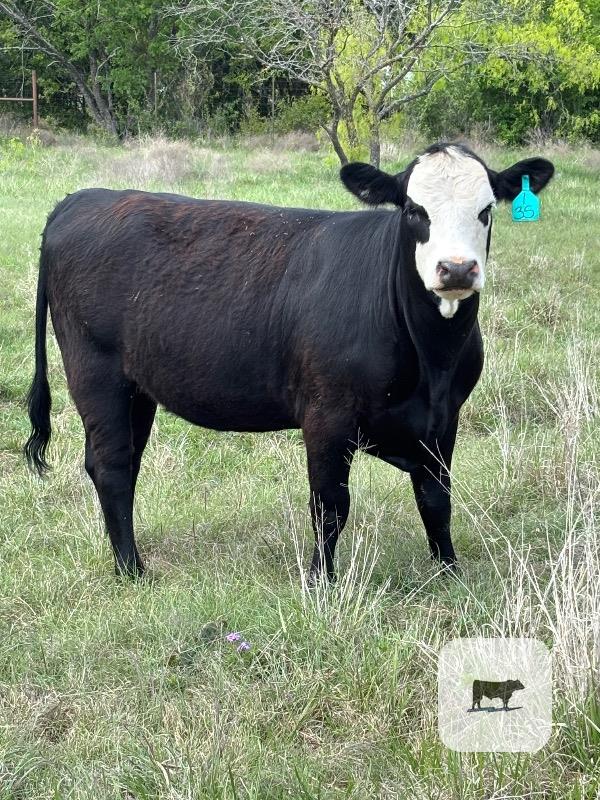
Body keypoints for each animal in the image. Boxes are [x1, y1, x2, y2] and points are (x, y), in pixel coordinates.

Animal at [24, 143, 554, 581]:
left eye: (486, 210)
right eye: (412, 210)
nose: (457, 269)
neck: (432, 361)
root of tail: (79, 199)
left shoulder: (444, 419)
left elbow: (436, 498)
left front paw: (448, 572)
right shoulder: (327, 414)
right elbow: (330, 505)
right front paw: (322, 581)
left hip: (138, 388)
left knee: (126, 461)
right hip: (96, 374)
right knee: (111, 466)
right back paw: (132, 570)